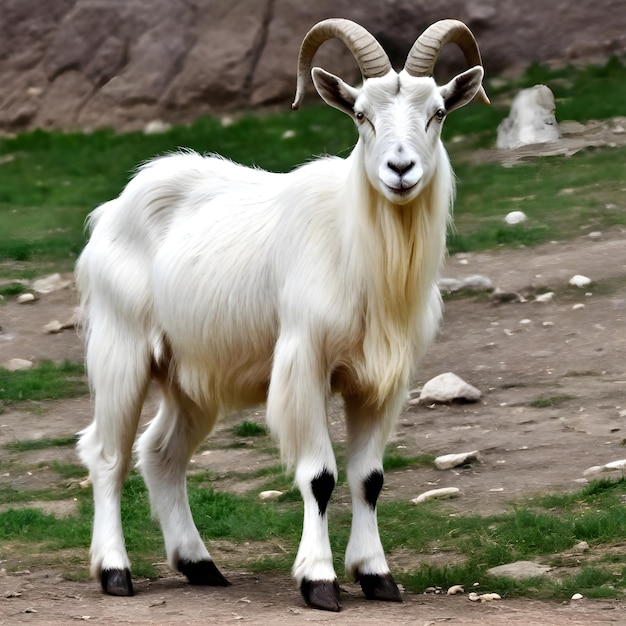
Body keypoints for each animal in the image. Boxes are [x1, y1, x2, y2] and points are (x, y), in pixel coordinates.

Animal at [75, 18, 488, 608]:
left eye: (438, 112)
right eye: (361, 114)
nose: (401, 170)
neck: (354, 248)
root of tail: (114, 209)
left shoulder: (380, 380)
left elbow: (369, 478)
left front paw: (377, 574)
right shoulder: (303, 362)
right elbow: (320, 476)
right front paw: (319, 581)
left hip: (190, 374)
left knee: (161, 453)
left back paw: (200, 564)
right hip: (121, 349)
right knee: (107, 454)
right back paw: (114, 571)